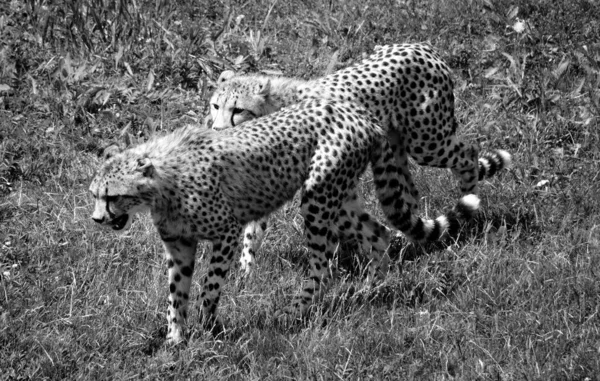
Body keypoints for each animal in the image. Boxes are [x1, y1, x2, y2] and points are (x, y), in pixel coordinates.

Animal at [89, 98, 480, 344]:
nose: (96, 219)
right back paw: (374, 289)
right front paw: (175, 339)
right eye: (94, 193)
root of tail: (361, 115)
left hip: (318, 197)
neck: (163, 184)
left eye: (112, 196)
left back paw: (296, 311)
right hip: (341, 198)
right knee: (379, 234)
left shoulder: (227, 233)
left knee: (322, 262)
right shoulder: (180, 245)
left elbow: (210, 286)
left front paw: (209, 325)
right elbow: (176, 294)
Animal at [209, 43, 508, 272]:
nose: (217, 129)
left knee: (468, 155)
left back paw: (466, 206)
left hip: (426, 141)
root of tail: (423, 47)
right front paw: (246, 273)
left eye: (237, 109)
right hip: (396, 148)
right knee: (409, 191)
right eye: (215, 105)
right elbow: (253, 230)